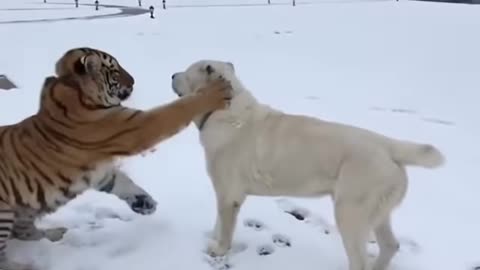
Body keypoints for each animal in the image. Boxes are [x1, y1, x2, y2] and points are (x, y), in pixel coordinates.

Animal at [0, 47, 232, 268]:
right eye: (115, 70)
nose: (134, 80)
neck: (73, 87)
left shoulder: (100, 171)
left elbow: (122, 182)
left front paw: (144, 202)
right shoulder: (134, 127)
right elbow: (175, 110)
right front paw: (215, 92)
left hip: (25, 210)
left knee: (24, 232)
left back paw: (55, 233)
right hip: (4, 213)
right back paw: (23, 265)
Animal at [171, 60, 444, 268]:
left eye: (186, 71)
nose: (172, 74)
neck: (224, 110)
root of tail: (388, 145)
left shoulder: (229, 195)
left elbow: (226, 228)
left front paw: (219, 250)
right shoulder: (224, 193)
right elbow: (218, 222)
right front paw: (213, 240)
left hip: (350, 211)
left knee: (360, 259)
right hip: (377, 211)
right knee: (390, 245)